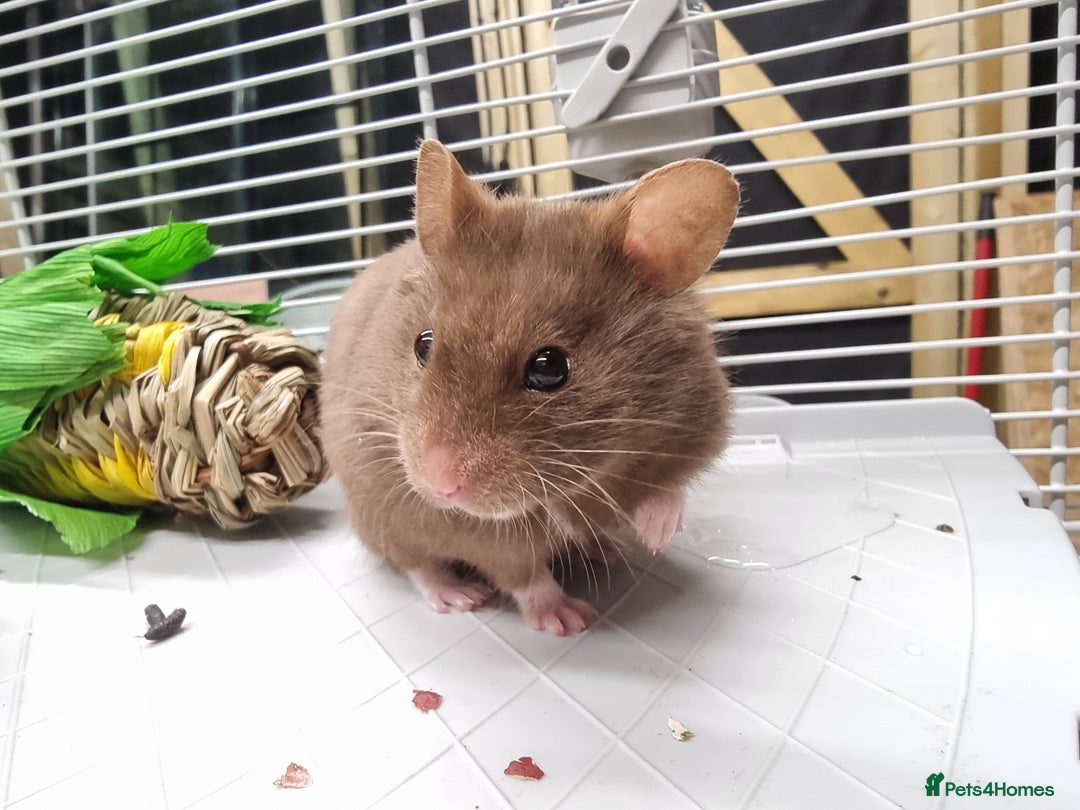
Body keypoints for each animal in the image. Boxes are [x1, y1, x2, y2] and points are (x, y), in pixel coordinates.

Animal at [320, 140, 739, 636]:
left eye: (549, 367)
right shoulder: (485, 536)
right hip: (379, 514)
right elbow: (525, 577)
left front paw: (657, 533)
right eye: (423, 345)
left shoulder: (693, 427)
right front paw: (569, 622)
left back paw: (607, 551)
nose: (438, 485)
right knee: (416, 564)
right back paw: (460, 596)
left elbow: (667, 488)